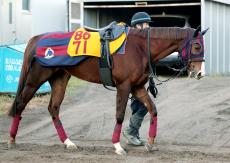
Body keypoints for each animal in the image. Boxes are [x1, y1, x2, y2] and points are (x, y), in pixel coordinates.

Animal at [7, 26, 208, 155]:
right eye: (197, 45)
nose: (200, 73)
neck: (140, 47)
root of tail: (38, 39)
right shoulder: (124, 86)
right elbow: (120, 115)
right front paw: (117, 146)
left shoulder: (137, 87)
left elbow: (153, 110)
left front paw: (150, 143)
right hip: (35, 79)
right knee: (20, 104)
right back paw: (11, 140)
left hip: (59, 79)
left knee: (53, 108)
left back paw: (68, 142)